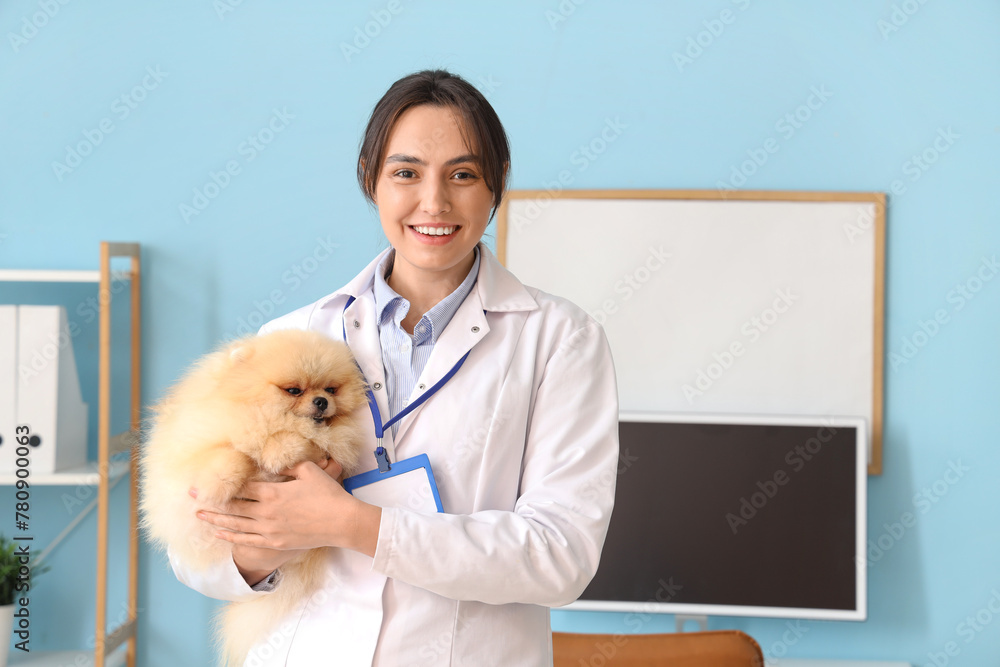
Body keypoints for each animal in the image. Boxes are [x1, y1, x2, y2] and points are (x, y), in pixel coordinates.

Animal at [142, 330, 372, 667]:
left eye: (331, 389)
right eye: (293, 390)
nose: (321, 401)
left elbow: (302, 443)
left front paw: (282, 449)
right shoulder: (194, 446)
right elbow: (231, 455)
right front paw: (219, 483)